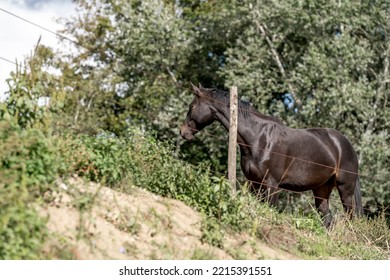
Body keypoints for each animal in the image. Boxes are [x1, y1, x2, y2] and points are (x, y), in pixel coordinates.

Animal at [180, 83, 362, 228]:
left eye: (191, 107)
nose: (183, 132)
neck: (258, 139)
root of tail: (345, 144)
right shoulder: (254, 183)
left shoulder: (272, 185)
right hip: (321, 189)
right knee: (327, 219)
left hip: (345, 189)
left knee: (350, 217)